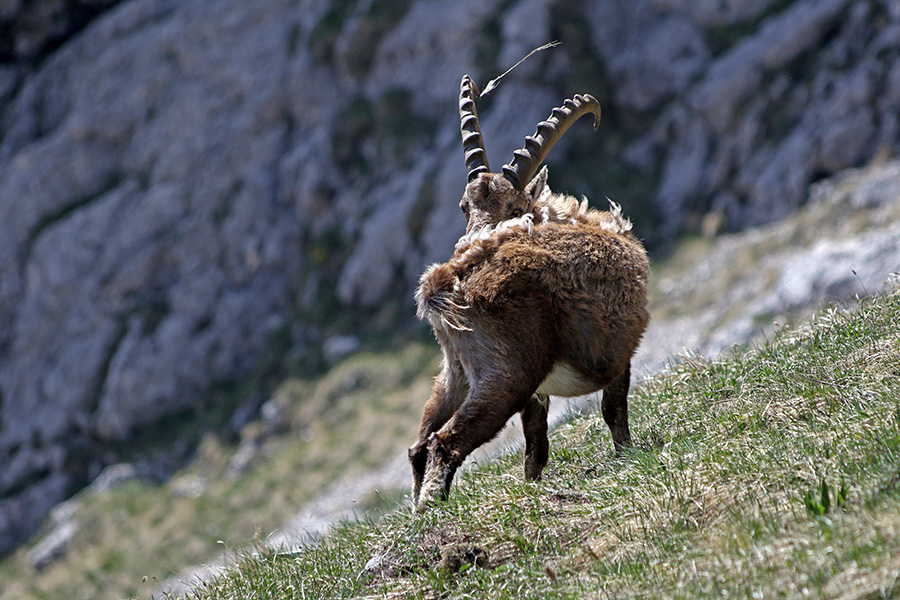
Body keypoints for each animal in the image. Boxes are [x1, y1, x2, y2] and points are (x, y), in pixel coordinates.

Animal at [408, 75, 650, 511]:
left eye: (512, 206)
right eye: (465, 206)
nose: (468, 240)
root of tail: (451, 279)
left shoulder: (536, 395)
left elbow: (535, 444)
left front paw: (532, 485)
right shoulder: (617, 352)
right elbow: (614, 408)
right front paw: (627, 455)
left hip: (456, 371)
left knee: (419, 443)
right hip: (508, 374)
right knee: (444, 443)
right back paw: (433, 510)